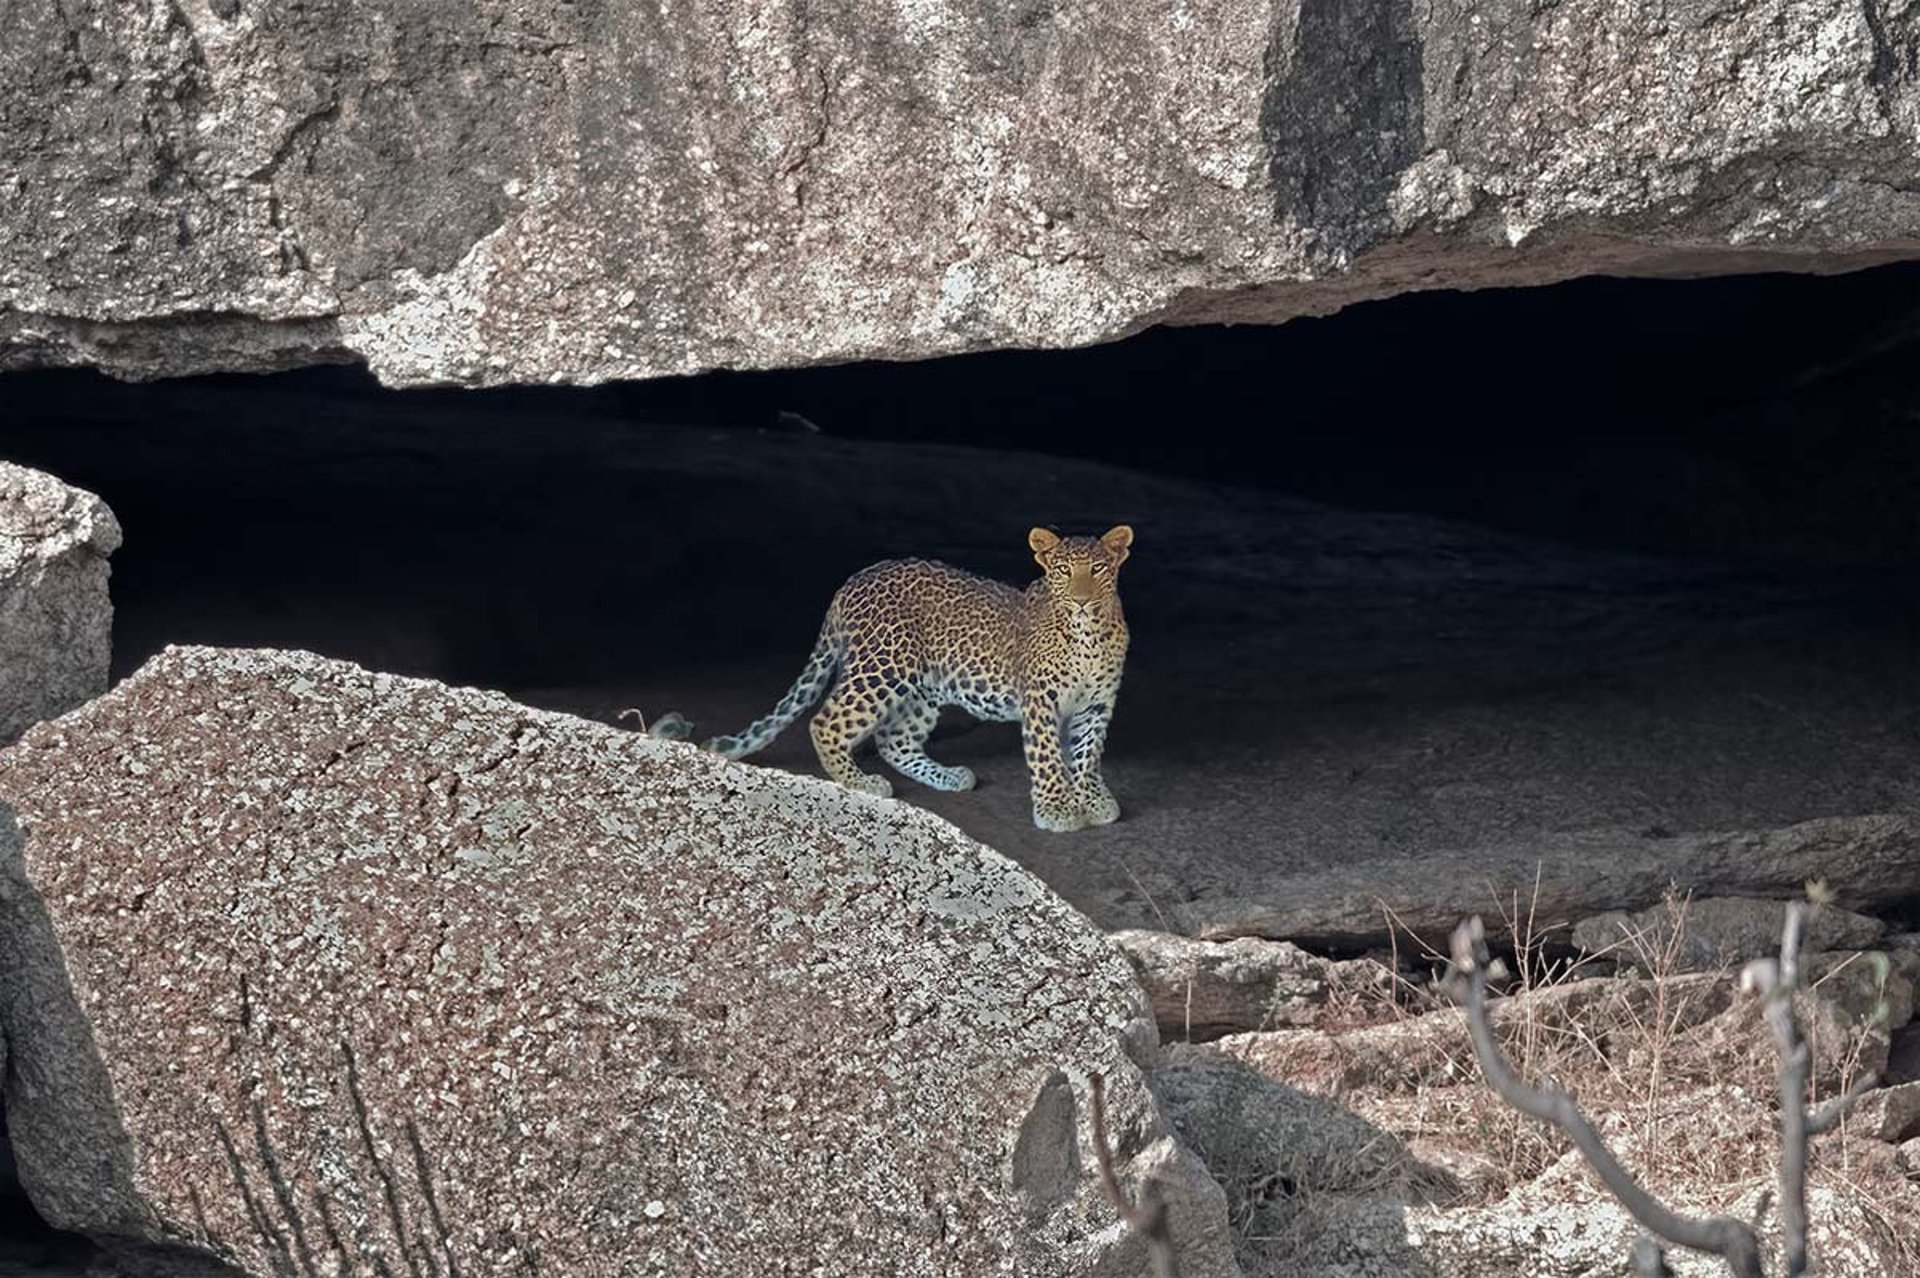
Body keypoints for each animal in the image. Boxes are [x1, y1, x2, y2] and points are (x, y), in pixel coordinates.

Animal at [707, 525, 1134, 832]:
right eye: (1063, 571)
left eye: (1098, 569)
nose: (1081, 600)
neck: (1088, 634)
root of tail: (852, 580)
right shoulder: (1040, 700)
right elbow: (1048, 755)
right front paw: (1057, 809)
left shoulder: (1096, 705)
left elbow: (1087, 753)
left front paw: (1091, 801)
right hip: (881, 666)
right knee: (826, 722)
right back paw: (859, 783)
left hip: (921, 688)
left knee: (894, 740)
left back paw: (949, 776)